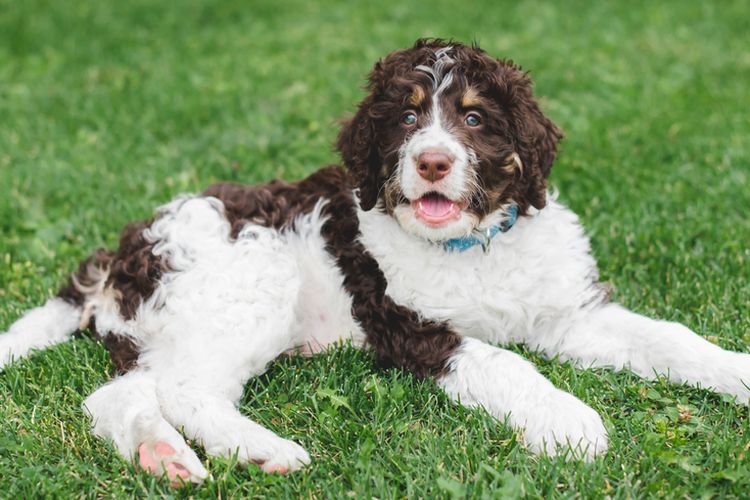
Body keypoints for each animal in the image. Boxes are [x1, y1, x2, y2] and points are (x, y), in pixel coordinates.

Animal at [1, 39, 750, 484]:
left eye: (474, 118)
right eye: (407, 118)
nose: (433, 161)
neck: (473, 247)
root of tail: (123, 251)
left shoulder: (569, 313)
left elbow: (669, 338)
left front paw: (737, 372)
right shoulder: (409, 325)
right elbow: (505, 363)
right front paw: (570, 422)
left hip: (170, 326)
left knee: (119, 395)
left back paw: (163, 458)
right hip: (246, 282)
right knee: (187, 390)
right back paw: (265, 450)